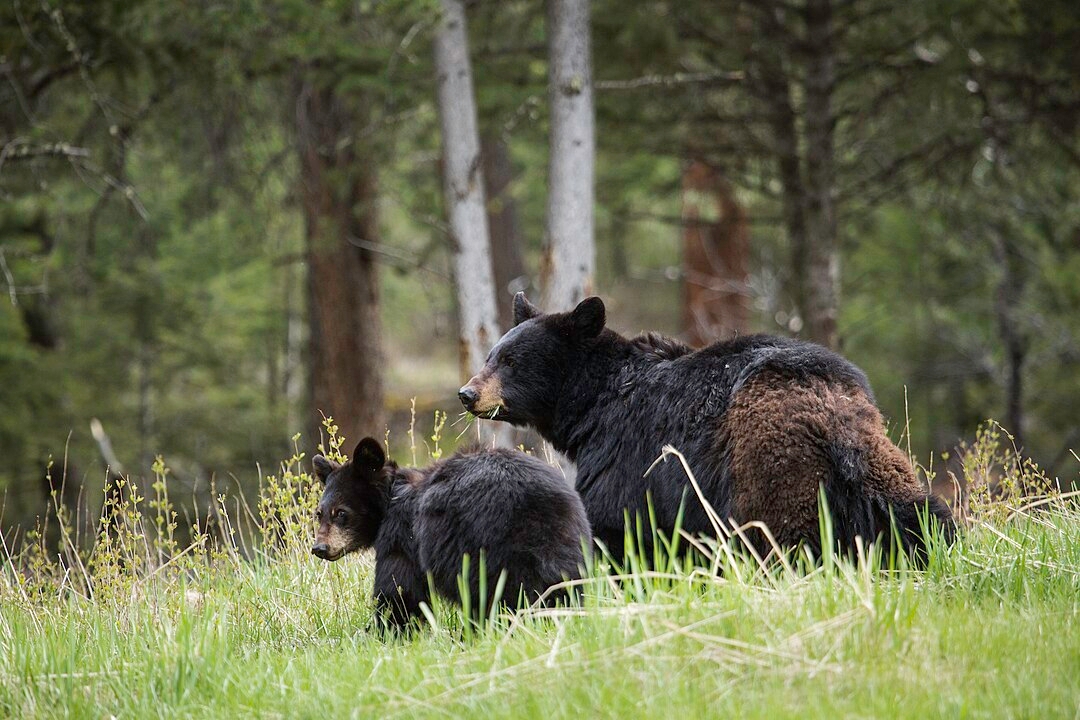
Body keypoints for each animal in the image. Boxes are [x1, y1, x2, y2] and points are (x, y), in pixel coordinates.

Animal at [308, 436, 596, 626]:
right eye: (319, 513)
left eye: (341, 512)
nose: (319, 548)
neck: (392, 497)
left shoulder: (403, 535)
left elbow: (399, 590)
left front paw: (385, 631)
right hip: (569, 543)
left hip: (484, 547)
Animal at [455, 293, 954, 561]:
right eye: (491, 355)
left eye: (512, 361)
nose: (467, 393)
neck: (594, 405)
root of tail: (830, 411)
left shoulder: (628, 454)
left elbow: (616, 523)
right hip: (878, 465)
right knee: (918, 514)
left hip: (770, 468)